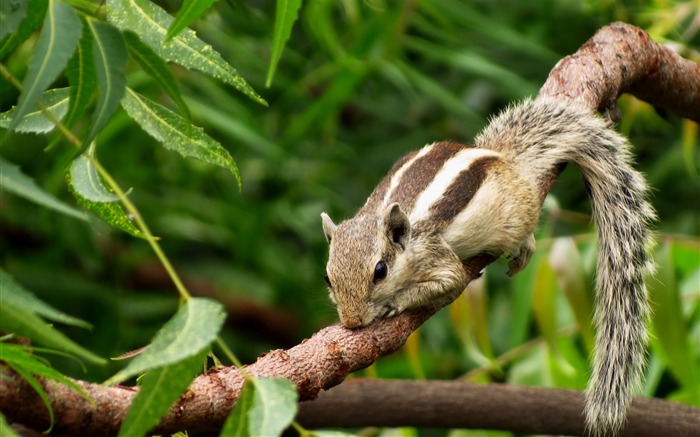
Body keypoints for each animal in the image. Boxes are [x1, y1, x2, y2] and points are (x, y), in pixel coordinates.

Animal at [322, 96, 656, 436]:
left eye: (380, 271)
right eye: (327, 278)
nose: (351, 321)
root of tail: (502, 156)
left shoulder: (435, 255)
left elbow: (451, 281)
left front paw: (395, 302)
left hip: (516, 216)